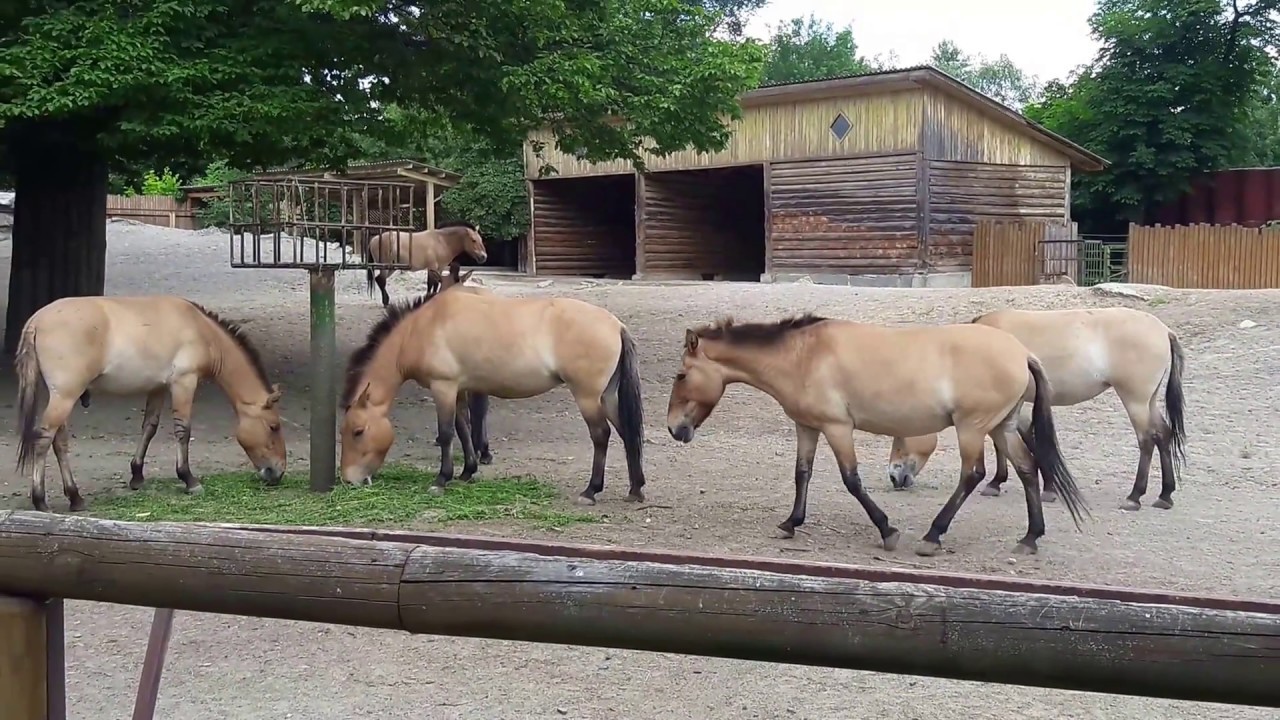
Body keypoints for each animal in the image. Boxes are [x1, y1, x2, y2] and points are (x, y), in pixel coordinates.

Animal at [15, 295, 286, 509]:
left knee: (59, 443)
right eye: (274, 426)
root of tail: (36, 321)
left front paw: (137, 475)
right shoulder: (184, 383)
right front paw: (189, 479)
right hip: (65, 396)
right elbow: (183, 430)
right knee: (43, 440)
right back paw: (40, 500)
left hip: (61, 398)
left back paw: (75, 497)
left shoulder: (157, 388)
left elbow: (149, 427)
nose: (278, 472)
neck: (200, 330)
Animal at [340, 283, 645, 502]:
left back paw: (591, 490)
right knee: (626, 433)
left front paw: (441, 480)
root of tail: (616, 325)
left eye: (358, 431)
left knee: (601, 435)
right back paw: (635, 489)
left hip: (587, 398)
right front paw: (467, 471)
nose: (348, 479)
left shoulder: (443, 387)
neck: (424, 327)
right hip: (606, 397)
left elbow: (446, 433)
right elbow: (463, 428)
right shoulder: (459, 389)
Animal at [355, 221, 488, 304]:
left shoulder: (439, 268)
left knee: (379, 279)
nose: (484, 257)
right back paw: (386, 301)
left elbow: (436, 283)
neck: (441, 241)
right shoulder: (431, 267)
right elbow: (430, 284)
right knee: (381, 280)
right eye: (473, 240)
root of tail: (374, 239)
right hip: (385, 266)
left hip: (391, 268)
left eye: (480, 239)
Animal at [670, 313, 1090, 556]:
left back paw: (932, 536)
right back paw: (1030, 537)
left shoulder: (838, 428)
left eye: (681, 375)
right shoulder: (807, 426)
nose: (675, 428)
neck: (803, 356)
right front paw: (791, 523)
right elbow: (802, 474)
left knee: (973, 474)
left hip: (973, 428)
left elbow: (852, 481)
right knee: (1027, 469)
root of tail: (1022, 353)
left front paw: (888, 530)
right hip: (1001, 426)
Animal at [885, 302, 1182, 509]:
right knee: (1163, 434)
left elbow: (1028, 440)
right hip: (1148, 400)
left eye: (901, 435)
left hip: (1135, 400)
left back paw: (1135, 497)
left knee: (1147, 440)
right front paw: (1032, 485)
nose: (894, 477)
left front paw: (1011, 483)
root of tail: (1163, 330)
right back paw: (1165, 495)